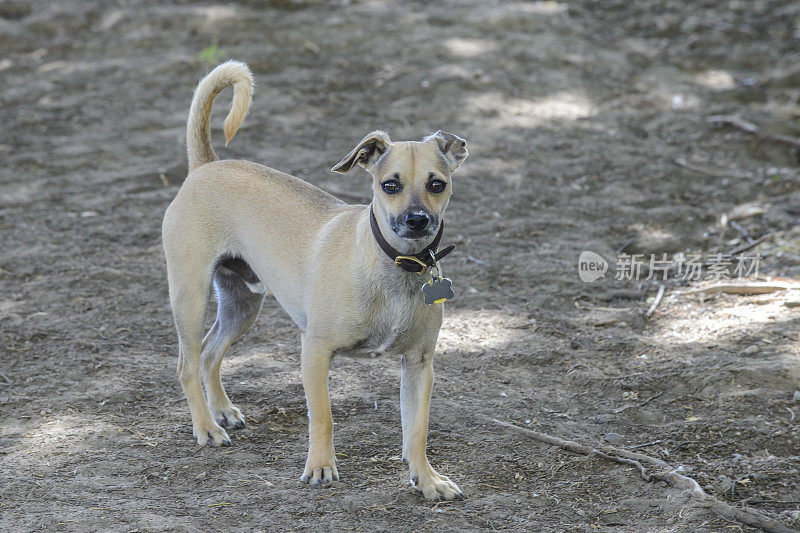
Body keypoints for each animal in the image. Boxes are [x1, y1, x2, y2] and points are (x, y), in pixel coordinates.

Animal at [162, 61, 468, 498]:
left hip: (242, 305)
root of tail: (205, 165)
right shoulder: (316, 351)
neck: (394, 268)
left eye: (437, 184)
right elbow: (323, 417)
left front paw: (426, 479)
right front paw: (321, 466)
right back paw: (205, 427)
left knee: (208, 352)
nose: (417, 220)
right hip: (190, 298)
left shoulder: (418, 365)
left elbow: (417, 430)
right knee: (187, 364)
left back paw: (221, 411)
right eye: (389, 184)